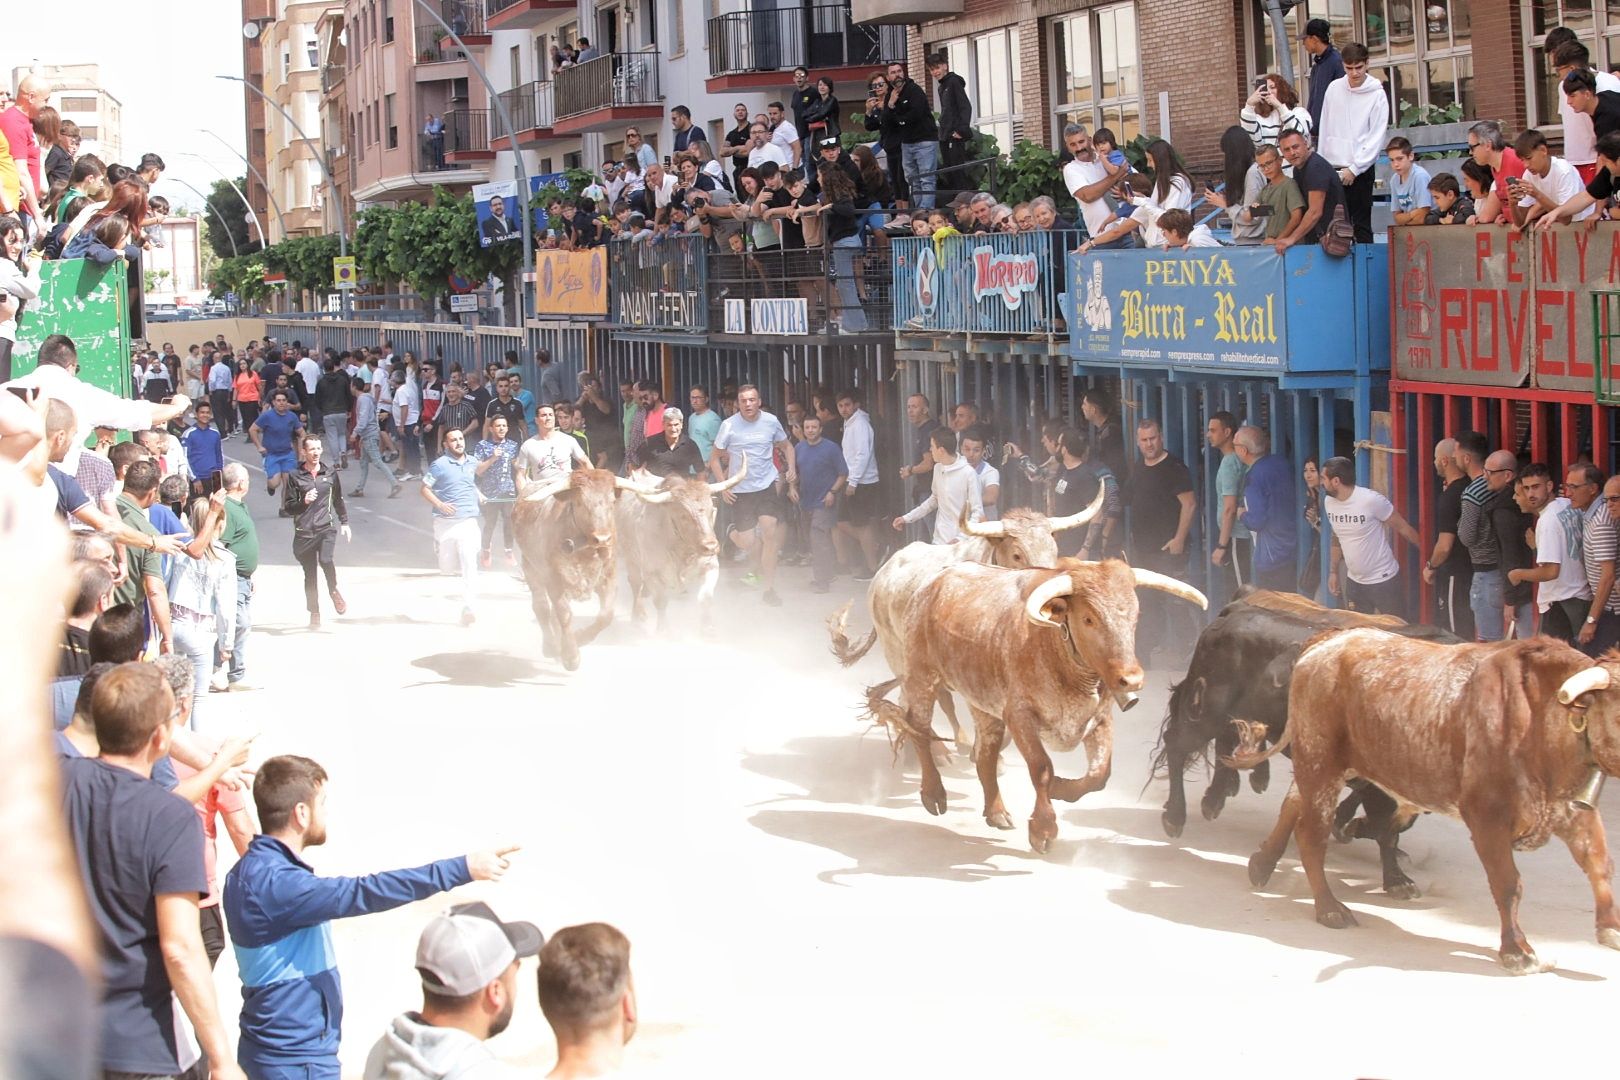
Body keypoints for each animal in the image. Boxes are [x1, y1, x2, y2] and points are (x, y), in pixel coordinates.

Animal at [615, 456, 748, 634]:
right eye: (683, 515)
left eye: (710, 510)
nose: (711, 546)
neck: (682, 550)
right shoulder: (653, 573)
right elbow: (661, 601)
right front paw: (663, 630)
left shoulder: (711, 565)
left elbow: (706, 597)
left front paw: (708, 628)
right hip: (631, 558)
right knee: (635, 585)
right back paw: (638, 616)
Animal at [874, 557, 1205, 854]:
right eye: (1089, 618)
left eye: (1135, 616)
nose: (1131, 679)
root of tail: (931, 582)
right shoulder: (1020, 716)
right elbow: (1042, 769)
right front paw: (1043, 828)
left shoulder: (1099, 720)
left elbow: (1099, 775)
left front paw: (1062, 788)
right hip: (921, 676)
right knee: (919, 730)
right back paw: (933, 794)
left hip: (982, 701)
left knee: (985, 754)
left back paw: (996, 811)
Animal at [1224, 628, 1620, 977]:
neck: (1540, 718)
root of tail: (1329, 641)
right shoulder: (1487, 818)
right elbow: (1508, 884)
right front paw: (1517, 951)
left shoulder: (1573, 812)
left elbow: (1599, 864)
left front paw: (1611, 929)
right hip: (1320, 763)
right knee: (1310, 835)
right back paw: (1329, 908)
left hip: (1327, 765)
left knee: (1293, 805)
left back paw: (1262, 865)